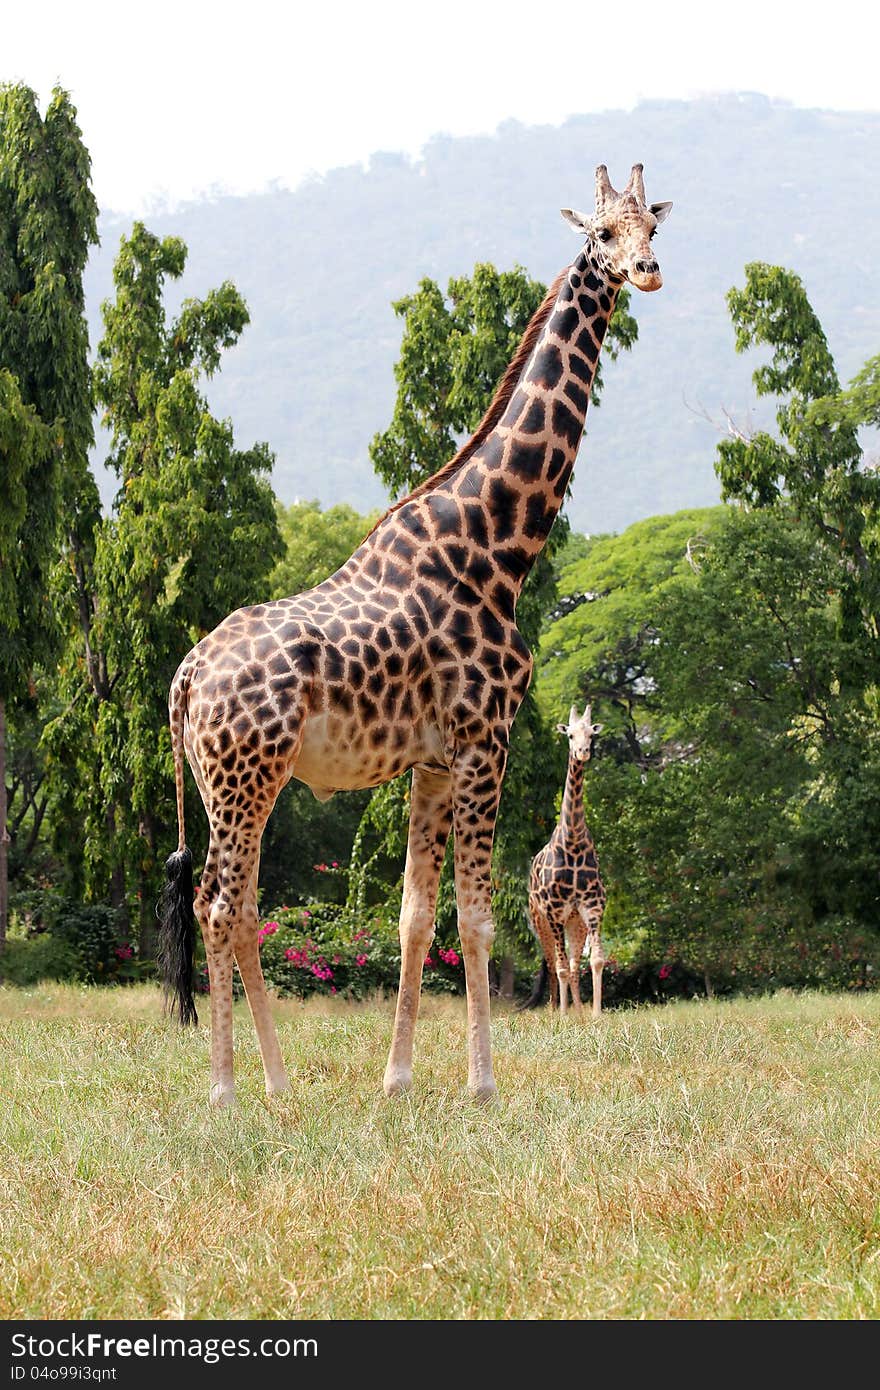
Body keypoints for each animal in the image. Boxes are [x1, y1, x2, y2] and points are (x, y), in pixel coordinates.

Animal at [525, 706, 606, 1023]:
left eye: (592, 734)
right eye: (569, 735)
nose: (582, 752)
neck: (572, 842)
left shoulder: (591, 907)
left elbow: (595, 960)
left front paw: (595, 1014)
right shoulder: (554, 911)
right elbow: (558, 967)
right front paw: (561, 1015)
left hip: (575, 922)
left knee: (572, 965)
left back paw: (578, 1011)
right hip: (540, 919)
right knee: (551, 962)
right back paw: (554, 1010)